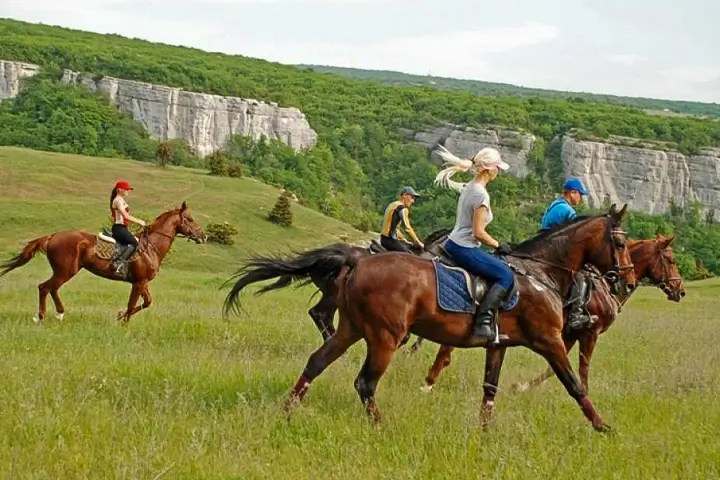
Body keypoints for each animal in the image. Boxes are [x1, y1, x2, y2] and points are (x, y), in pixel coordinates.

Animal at [0, 201, 208, 324]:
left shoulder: (142, 282)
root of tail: (53, 236)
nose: (203, 236)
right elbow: (132, 305)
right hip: (65, 271)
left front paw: (120, 316)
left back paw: (59, 313)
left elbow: (147, 302)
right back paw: (41, 317)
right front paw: (122, 322)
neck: (151, 247)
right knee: (44, 287)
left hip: (66, 271)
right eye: (190, 219)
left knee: (52, 289)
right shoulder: (138, 282)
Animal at [225, 204, 636, 430]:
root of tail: (359, 260)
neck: (541, 273)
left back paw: (287, 411)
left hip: (352, 329)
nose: (627, 279)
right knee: (365, 383)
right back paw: (381, 427)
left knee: (317, 361)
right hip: (385, 337)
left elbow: (490, 389)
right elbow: (575, 385)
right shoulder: (549, 341)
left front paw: (483, 433)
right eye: (619, 242)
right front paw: (603, 427)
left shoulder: (499, 345)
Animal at [422, 232, 688, 394]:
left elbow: (554, 368)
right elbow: (582, 367)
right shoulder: (589, 333)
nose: (681, 291)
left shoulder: (566, 335)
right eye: (671, 260)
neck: (604, 285)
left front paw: (522, 387)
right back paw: (428, 383)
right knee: (446, 348)